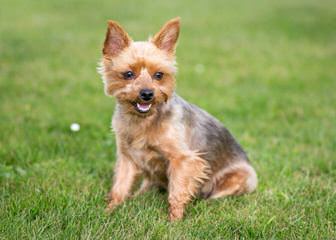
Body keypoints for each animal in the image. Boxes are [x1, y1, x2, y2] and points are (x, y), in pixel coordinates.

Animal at [97, 17, 258, 221]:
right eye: (128, 74)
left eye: (159, 75)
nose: (147, 94)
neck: (144, 120)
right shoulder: (127, 157)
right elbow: (120, 186)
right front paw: (109, 210)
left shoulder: (183, 160)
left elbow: (177, 192)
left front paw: (174, 221)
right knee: (147, 184)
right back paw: (139, 195)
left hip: (240, 178)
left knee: (217, 195)